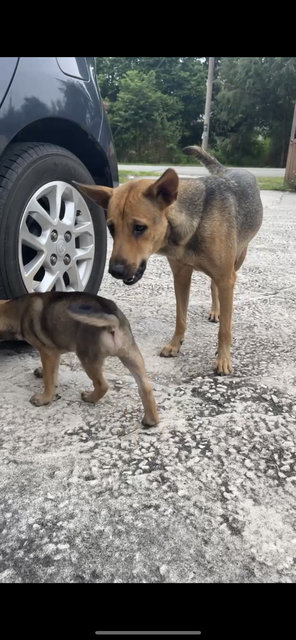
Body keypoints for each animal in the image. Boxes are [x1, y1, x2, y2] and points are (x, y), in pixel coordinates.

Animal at [0, 292, 158, 428]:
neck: (16, 309)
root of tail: (112, 322)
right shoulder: (54, 354)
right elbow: (52, 373)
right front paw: (44, 375)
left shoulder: (47, 352)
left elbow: (48, 380)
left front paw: (44, 398)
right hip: (131, 354)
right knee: (145, 387)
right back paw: (151, 420)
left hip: (87, 358)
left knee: (102, 385)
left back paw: (89, 398)